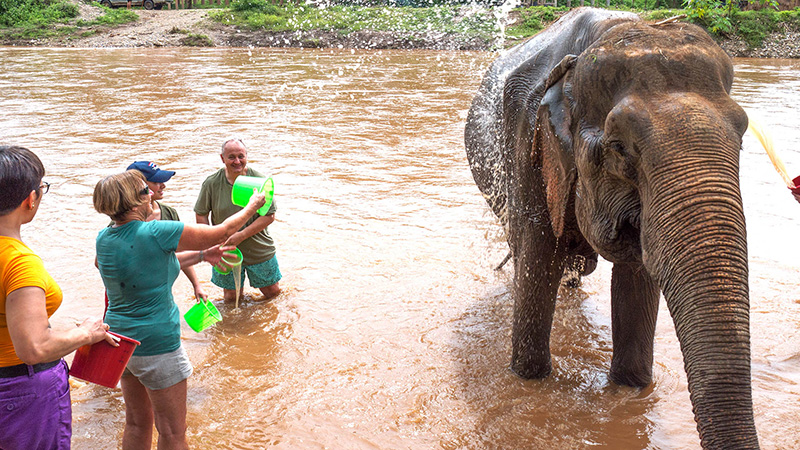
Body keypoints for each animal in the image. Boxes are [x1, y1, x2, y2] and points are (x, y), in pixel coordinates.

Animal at [464, 7, 758, 449]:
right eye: (619, 147)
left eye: (741, 135)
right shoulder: (528, 149)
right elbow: (538, 258)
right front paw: (528, 380)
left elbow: (637, 277)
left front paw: (630, 388)